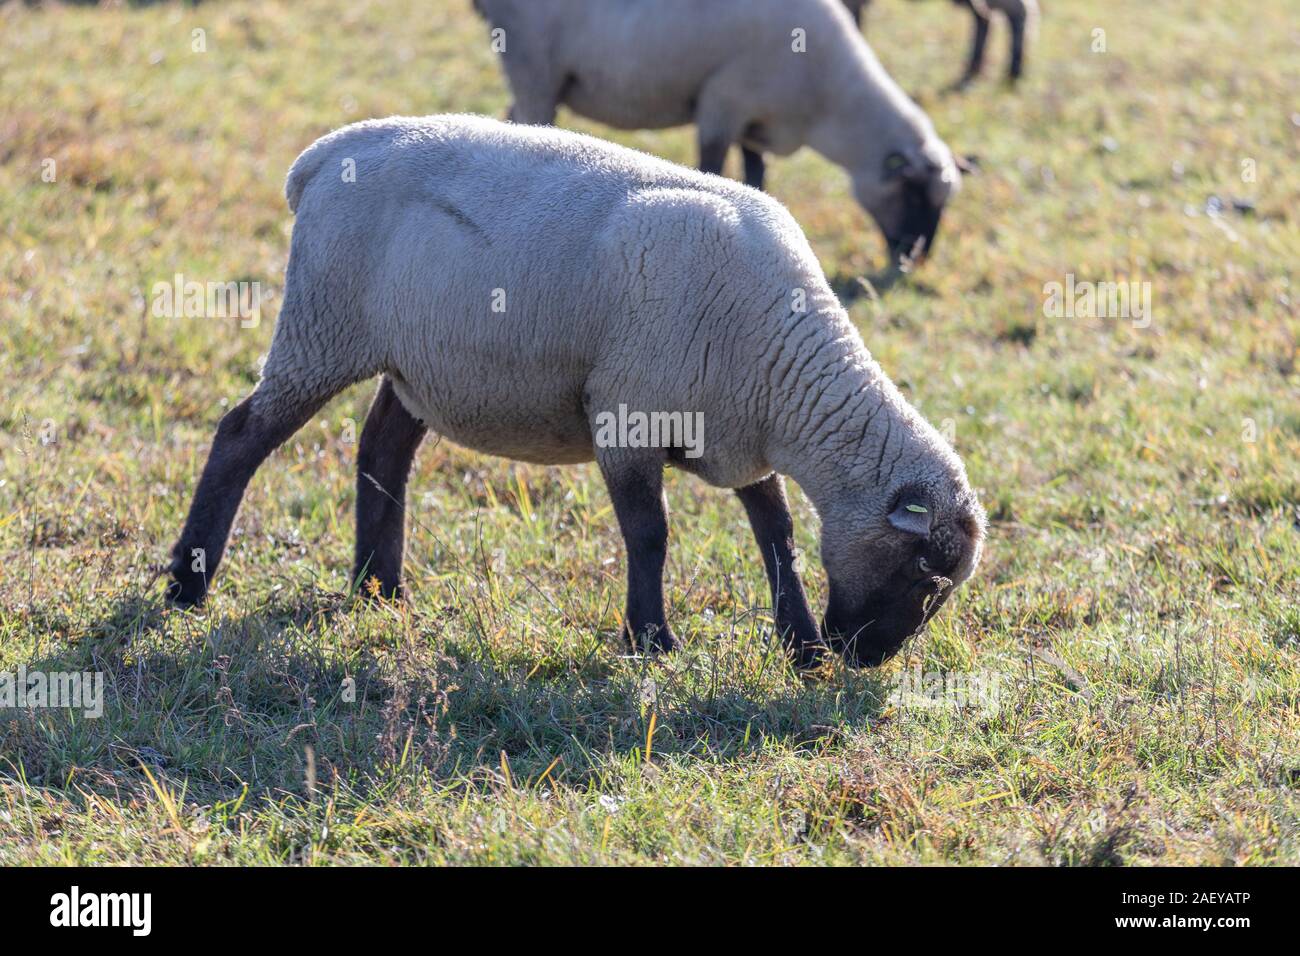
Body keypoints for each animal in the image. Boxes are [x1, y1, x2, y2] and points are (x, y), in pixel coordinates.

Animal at [165, 115, 986, 669]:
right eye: (924, 573)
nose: (862, 659)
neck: (786, 379)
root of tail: (324, 154)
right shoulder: (627, 418)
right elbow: (651, 534)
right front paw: (652, 640)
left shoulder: (735, 436)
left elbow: (777, 533)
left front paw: (801, 644)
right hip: (322, 327)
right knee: (240, 436)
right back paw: (187, 585)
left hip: (418, 357)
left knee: (383, 449)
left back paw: (379, 591)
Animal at [473, 0, 963, 269]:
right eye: (914, 194)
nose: (915, 260)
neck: (829, 102)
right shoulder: (723, 103)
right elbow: (713, 167)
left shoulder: (754, 124)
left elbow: (756, 173)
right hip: (532, 64)